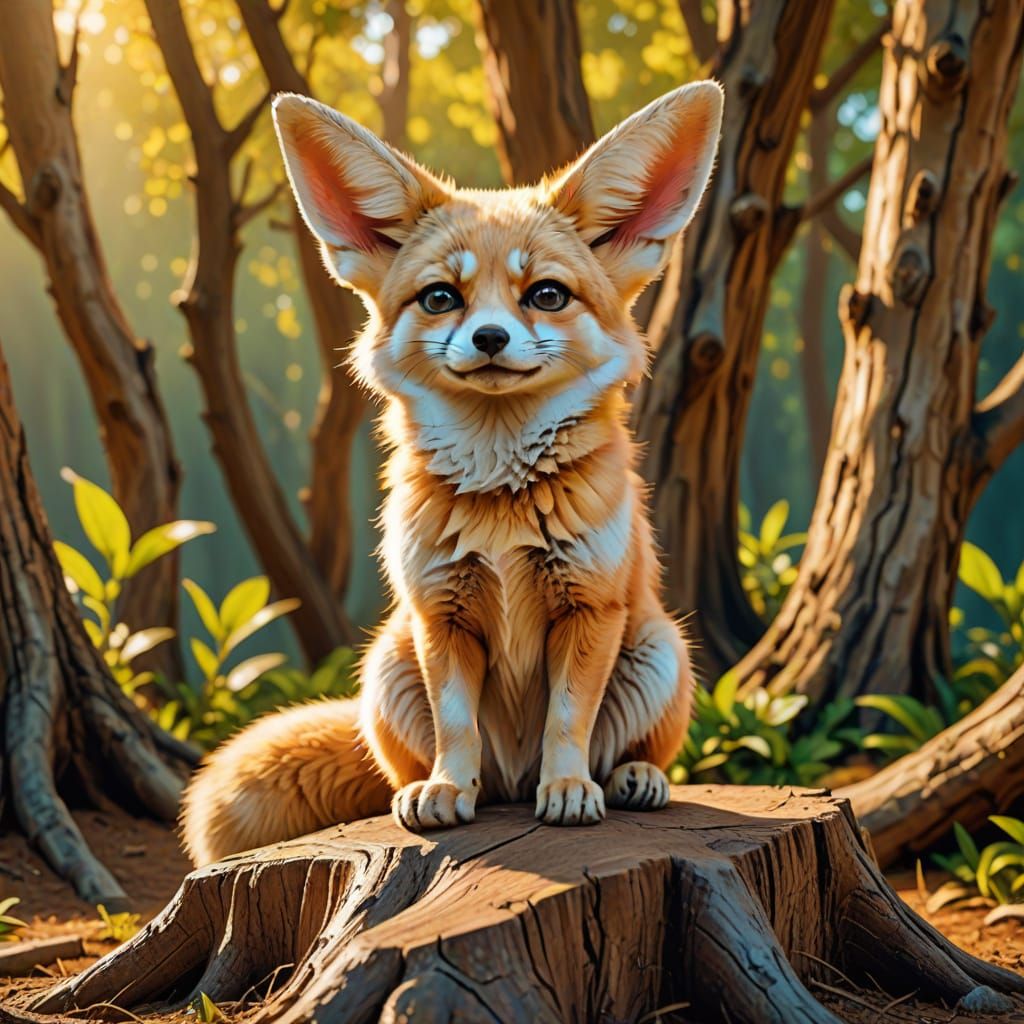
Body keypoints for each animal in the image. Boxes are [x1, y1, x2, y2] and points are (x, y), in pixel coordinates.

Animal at [181, 81, 724, 865]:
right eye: (441, 297)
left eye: (547, 294)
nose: (489, 337)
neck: (501, 508)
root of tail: (514, 779)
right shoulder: (443, 612)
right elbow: (457, 725)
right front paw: (445, 789)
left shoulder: (587, 607)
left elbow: (568, 721)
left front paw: (568, 791)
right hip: (388, 660)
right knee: (441, 774)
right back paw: (439, 789)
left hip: (660, 650)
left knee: (628, 751)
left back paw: (629, 779)